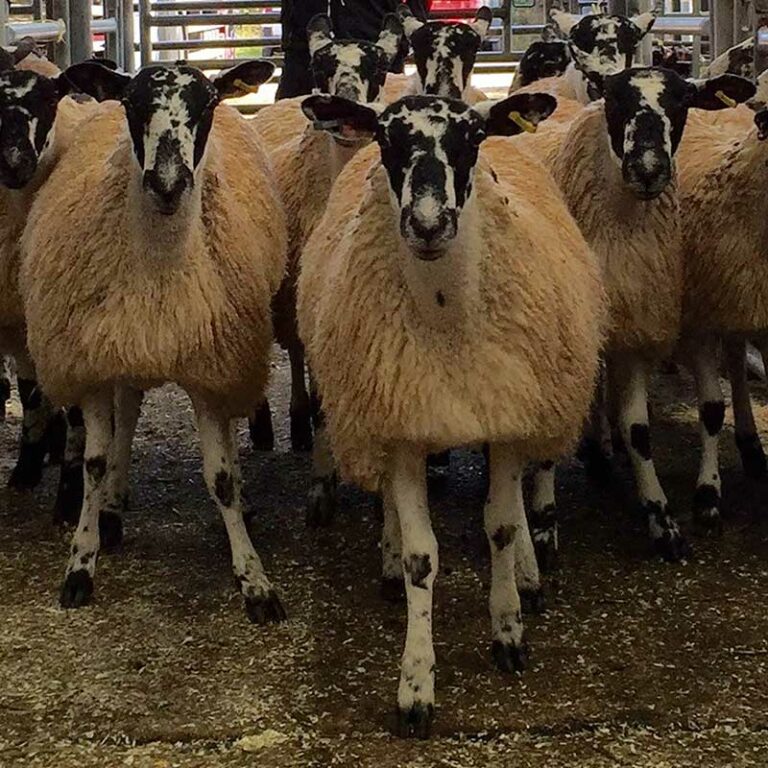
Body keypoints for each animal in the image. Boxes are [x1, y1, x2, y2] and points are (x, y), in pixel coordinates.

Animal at [20, 61, 288, 622]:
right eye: (133, 103)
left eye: (207, 104)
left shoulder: (211, 371)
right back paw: (113, 505)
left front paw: (254, 579)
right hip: (123, 348)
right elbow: (94, 465)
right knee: (128, 411)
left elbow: (221, 478)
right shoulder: (95, 364)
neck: (161, 274)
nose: (167, 183)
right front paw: (81, 562)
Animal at [298, 91, 605, 737]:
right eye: (386, 139)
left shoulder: (507, 413)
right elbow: (422, 558)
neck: (445, 318)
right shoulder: (403, 422)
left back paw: (529, 573)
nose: (428, 223)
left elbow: (502, 525)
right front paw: (415, 684)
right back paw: (390, 560)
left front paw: (509, 630)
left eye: (472, 139)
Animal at [549, 67, 754, 559]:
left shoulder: (666, 320)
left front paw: (689, 508)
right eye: (614, 99)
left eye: (682, 102)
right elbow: (636, 427)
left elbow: (696, 413)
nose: (647, 169)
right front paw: (661, 517)